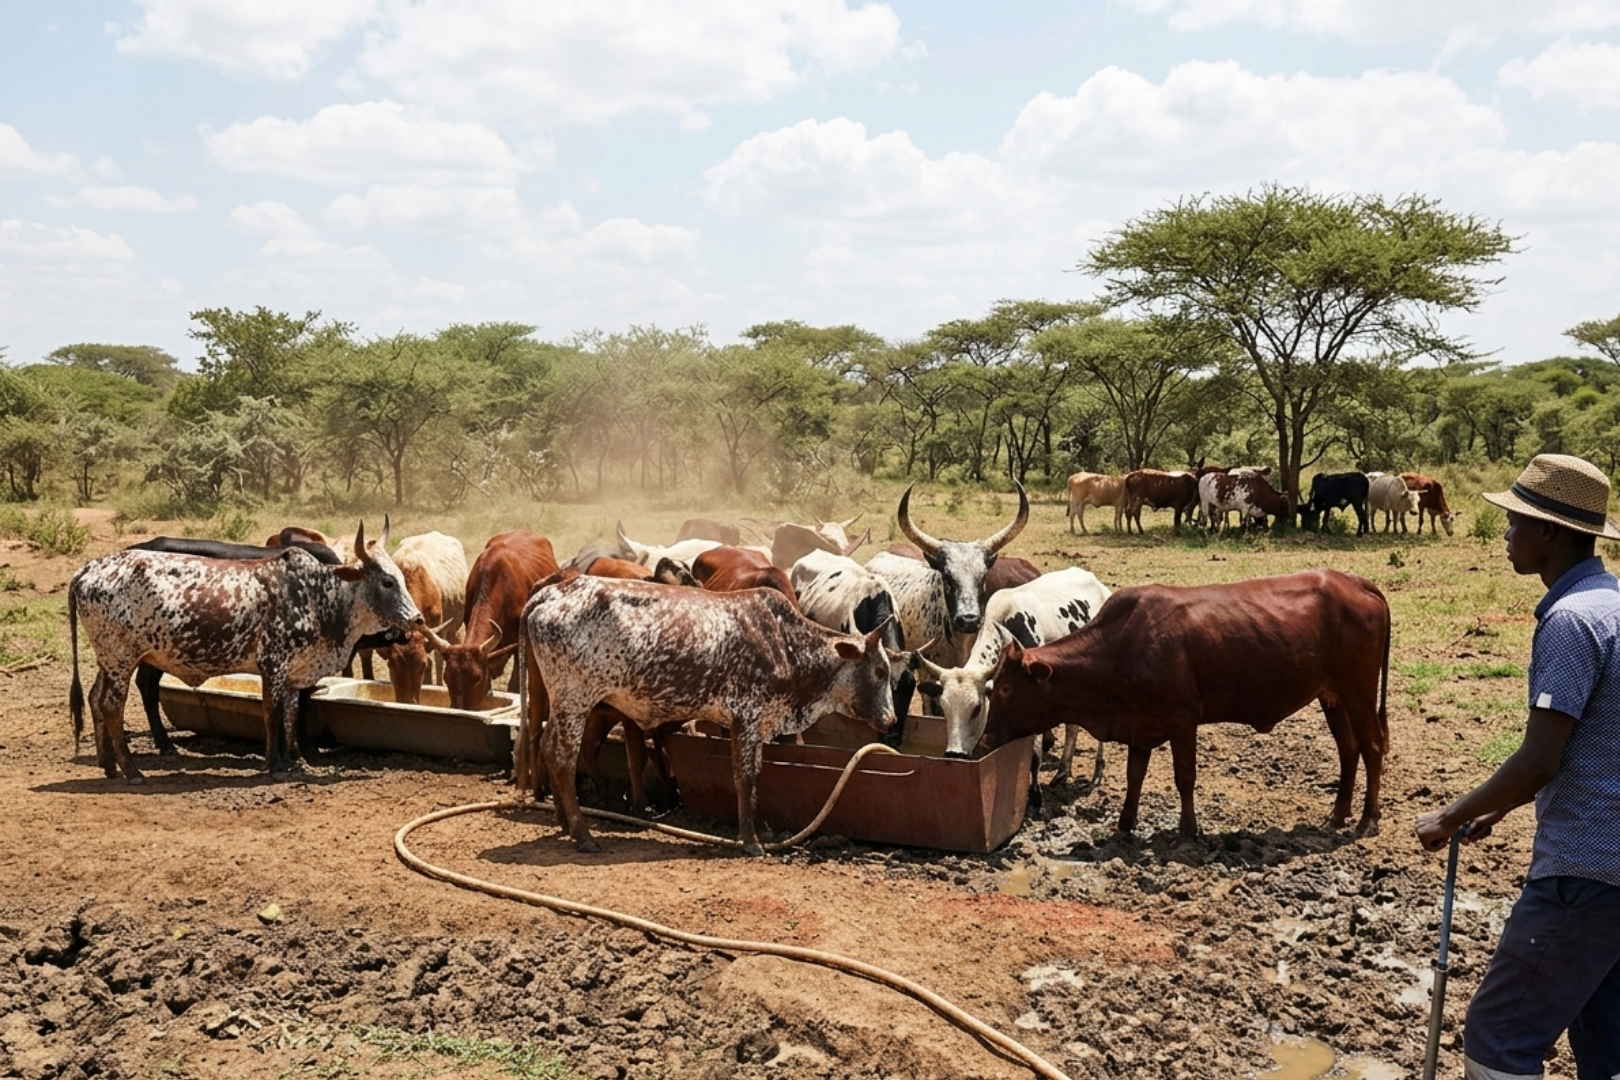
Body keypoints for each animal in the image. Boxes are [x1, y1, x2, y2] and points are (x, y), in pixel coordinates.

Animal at [68, 520, 422, 779]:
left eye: (401, 578)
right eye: (387, 582)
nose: (416, 619)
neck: (320, 596)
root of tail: (88, 569)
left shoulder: (295, 672)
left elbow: (291, 714)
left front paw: (294, 760)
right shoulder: (274, 665)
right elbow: (273, 714)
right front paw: (276, 765)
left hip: (110, 660)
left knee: (97, 699)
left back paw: (110, 766)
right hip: (122, 658)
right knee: (113, 705)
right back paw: (132, 770)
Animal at [519, 575, 897, 855]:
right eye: (881, 671)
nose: (891, 720)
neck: (785, 644)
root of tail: (552, 591)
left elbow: (754, 775)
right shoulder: (747, 717)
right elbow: (745, 777)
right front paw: (751, 842)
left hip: (561, 702)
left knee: (545, 745)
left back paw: (564, 823)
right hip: (575, 701)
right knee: (562, 755)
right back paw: (583, 836)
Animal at [914, 567, 1113, 791]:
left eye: (976, 708)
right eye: (945, 708)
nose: (954, 754)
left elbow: (1034, 754)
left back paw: (1097, 771)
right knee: (1072, 726)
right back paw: (1063, 771)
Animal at [978, 569, 1390, 838]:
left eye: (1005, 689)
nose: (983, 741)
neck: (1120, 646)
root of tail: (1354, 582)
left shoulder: (1182, 720)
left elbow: (1185, 777)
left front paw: (1187, 830)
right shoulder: (1140, 727)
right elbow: (1134, 774)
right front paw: (1125, 824)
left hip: (1358, 691)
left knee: (1371, 747)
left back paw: (1367, 819)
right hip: (1332, 697)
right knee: (1349, 750)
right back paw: (1338, 815)